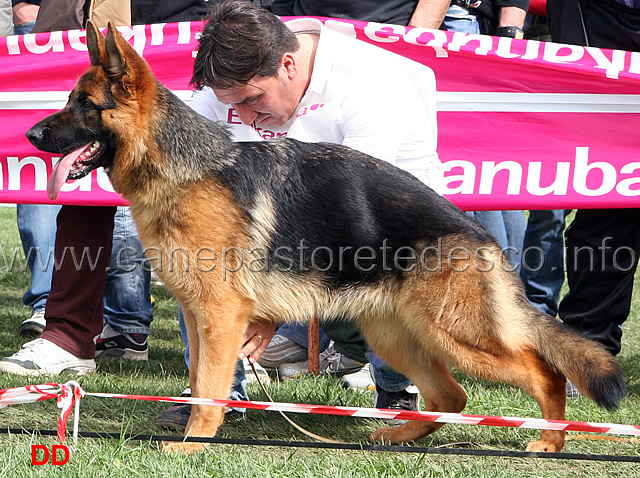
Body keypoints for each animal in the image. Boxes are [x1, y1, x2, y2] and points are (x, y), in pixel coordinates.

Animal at [26, 22, 624, 454]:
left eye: (84, 105)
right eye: (70, 100)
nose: (31, 134)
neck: (183, 167)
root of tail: (478, 233)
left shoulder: (220, 315)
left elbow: (209, 388)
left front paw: (193, 445)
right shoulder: (199, 315)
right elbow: (200, 381)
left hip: (461, 336)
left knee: (545, 373)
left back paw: (549, 440)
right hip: (399, 336)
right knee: (450, 395)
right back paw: (396, 435)